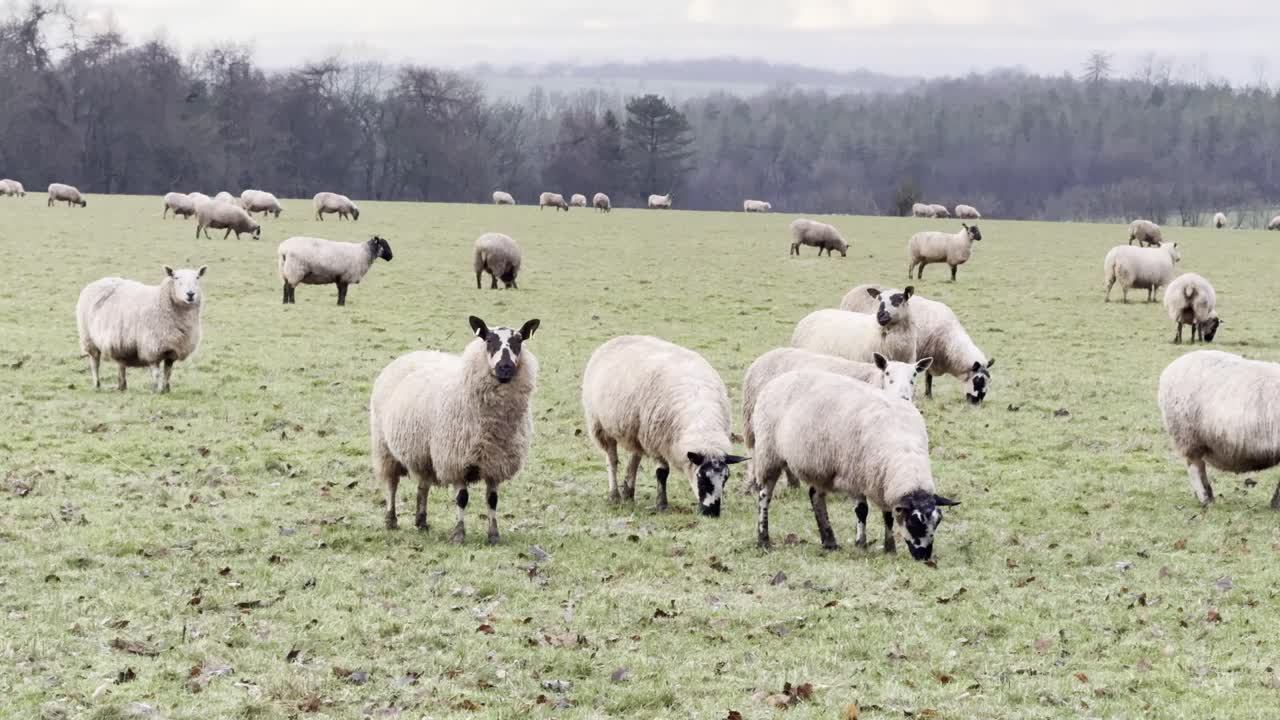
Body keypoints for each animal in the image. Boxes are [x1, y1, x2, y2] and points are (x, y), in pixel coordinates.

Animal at [76, 265, 206, 393]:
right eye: (176, 277)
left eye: (197, 277)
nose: (190, 294)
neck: (161, 302)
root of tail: (99, 281)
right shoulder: (152, 348)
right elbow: (156, 373)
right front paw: (156, 390)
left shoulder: (171, 350)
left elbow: (168, 372)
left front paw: (166, 389)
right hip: (88, 337)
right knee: (95, 362)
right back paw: (97, 384)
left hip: (119, 342)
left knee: (120, 363)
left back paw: (122, 386)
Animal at [370, 316, 541, 538]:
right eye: (488, 340)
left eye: (519, 341)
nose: (505, 367)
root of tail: (411, 354)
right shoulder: (456, 459)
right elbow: (462, 498)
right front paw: (459, 533)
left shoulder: (495, 462)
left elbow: (492, 500)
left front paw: (494, 534)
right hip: (385, 447)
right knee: (392, 484)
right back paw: (391, 520)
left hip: (425, 453)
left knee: (423, 486)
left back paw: (421, 521)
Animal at [581, 335, 745, 516]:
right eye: (701, 477)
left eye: (726, 478)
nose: (712, 513)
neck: (702, 422)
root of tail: (618, 338)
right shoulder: (658, 441)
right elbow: (662, 473)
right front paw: (661, 504)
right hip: (601, 426)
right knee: (612, 461)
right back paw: (615, 495)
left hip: (636, 431)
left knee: (634, 459)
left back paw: (628, 493)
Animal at [750, 369, 959, 559]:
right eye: (914, 523)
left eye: (938, 522)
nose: (924, 557)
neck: (904, 454)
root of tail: (777, 380)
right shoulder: (856, 476)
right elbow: (862, 511)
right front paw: (861, 544)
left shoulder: (883, 484)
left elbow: (888, 516)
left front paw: (889, 548)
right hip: (769, 453)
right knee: (764, 495)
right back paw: (763, 539)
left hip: (820, 464)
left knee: (815, 496)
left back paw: (829, 541)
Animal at [842, 284, 995, 404]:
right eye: (978, 380)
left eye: (989, 382)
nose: (977, 403)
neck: (950, 341)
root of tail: (853, 290)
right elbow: (928, 377)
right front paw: (928, 396)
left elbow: (927, 376)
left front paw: (928, 395)